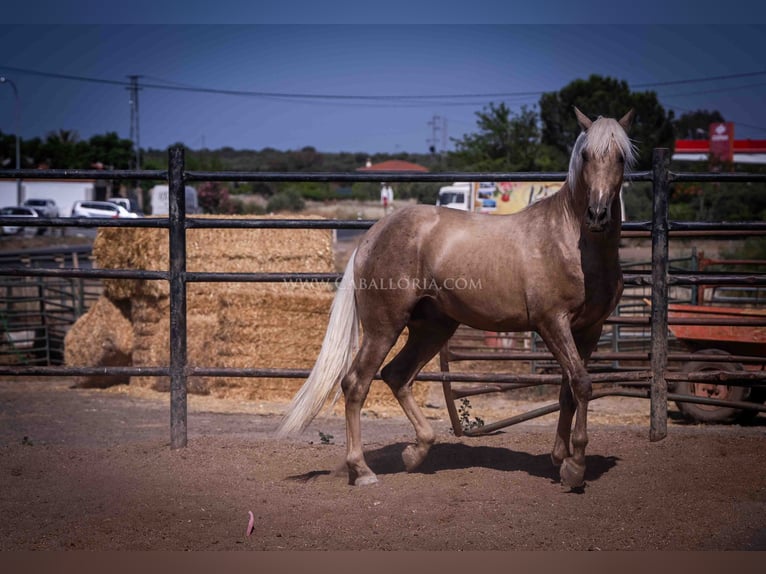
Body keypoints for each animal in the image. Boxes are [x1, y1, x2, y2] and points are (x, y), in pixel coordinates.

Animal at [280, 109, 640, 490]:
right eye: (586, 155)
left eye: (621, 157)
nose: (597, 215)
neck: (569, 242)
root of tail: (371, 235)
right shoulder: (552, 323)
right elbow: (583, 384)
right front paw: (575, 468)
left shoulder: (590, 329)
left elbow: (569, 388)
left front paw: (561, 458)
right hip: (383, 328)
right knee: (356, 383)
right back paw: (362, 471)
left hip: (433, 328)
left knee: (396, 375)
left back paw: (416, 452)